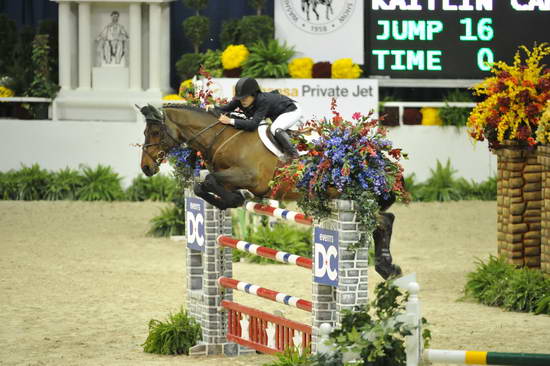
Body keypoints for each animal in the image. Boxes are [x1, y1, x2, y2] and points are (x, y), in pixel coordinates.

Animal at [140, 104, 404, 278]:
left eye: (155, 132)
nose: (146, 167)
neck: (222, 138)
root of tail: (368, 158)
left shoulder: (249, 177)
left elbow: (210, 182)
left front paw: (233, 200)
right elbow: (201, 185)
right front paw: (228, 200)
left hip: (349, 198)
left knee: (383, 220)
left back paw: (387, 267)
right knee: (385, 220)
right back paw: (386, 268)